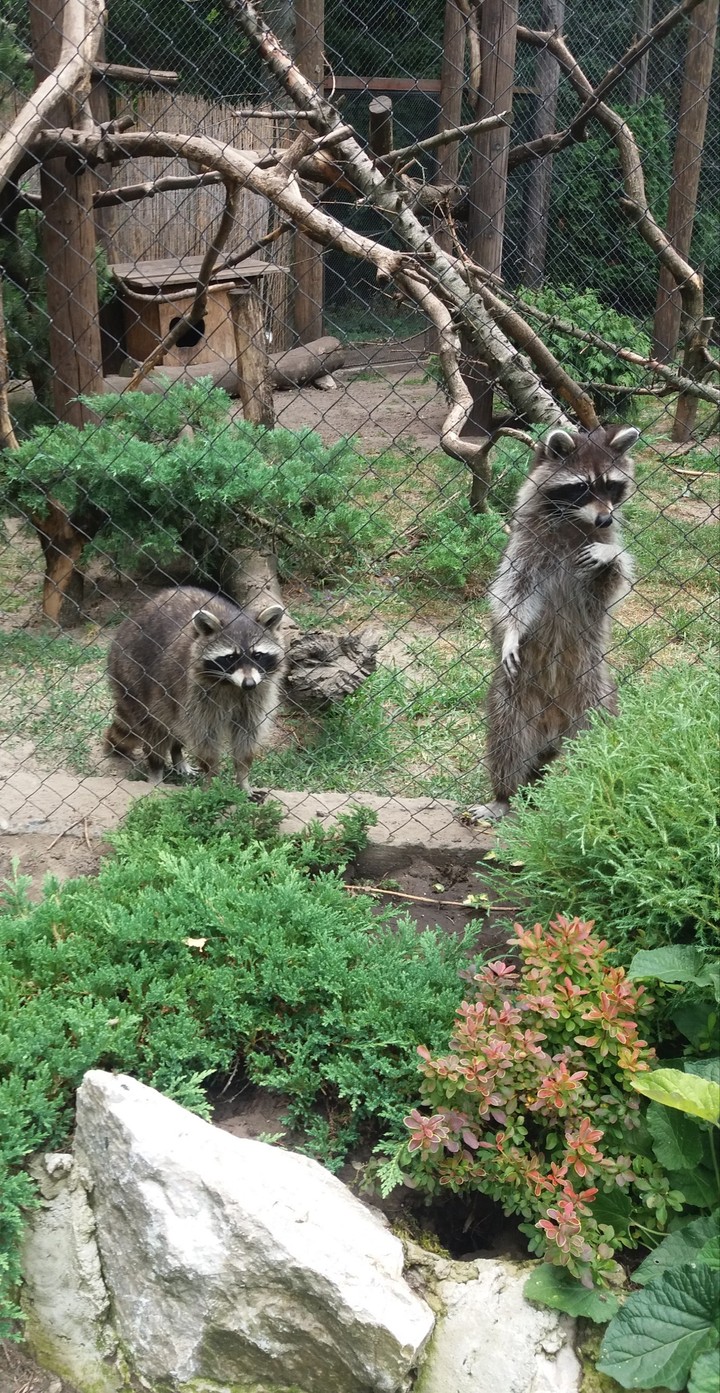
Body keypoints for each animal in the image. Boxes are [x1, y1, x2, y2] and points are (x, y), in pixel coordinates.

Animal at [105, 586, 286, 789]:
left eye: (257, 655)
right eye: (231, 657)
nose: (249, 684)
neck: (231, 685)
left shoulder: (257, 695)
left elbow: (247, 734)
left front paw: (243, 778)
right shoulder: (193, 692)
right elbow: (204, 737)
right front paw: (213, 778)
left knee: (176, 728)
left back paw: (177, 754)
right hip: (134, 678)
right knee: (156, 728)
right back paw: (156, 768)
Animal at [471, 423, 639, 819]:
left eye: (611, 486)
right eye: (581, 487)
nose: (605, 518)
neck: (573, 521)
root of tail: (553, 725)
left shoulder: (595, 559)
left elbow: (612, 582)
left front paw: (611, 555)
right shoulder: (524, 547)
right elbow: (513, 593)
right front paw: (511, 631)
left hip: (596, 695)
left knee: (601, 741)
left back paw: (601, 778)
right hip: (510, 698)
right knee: (505, 743)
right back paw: (503, 795)